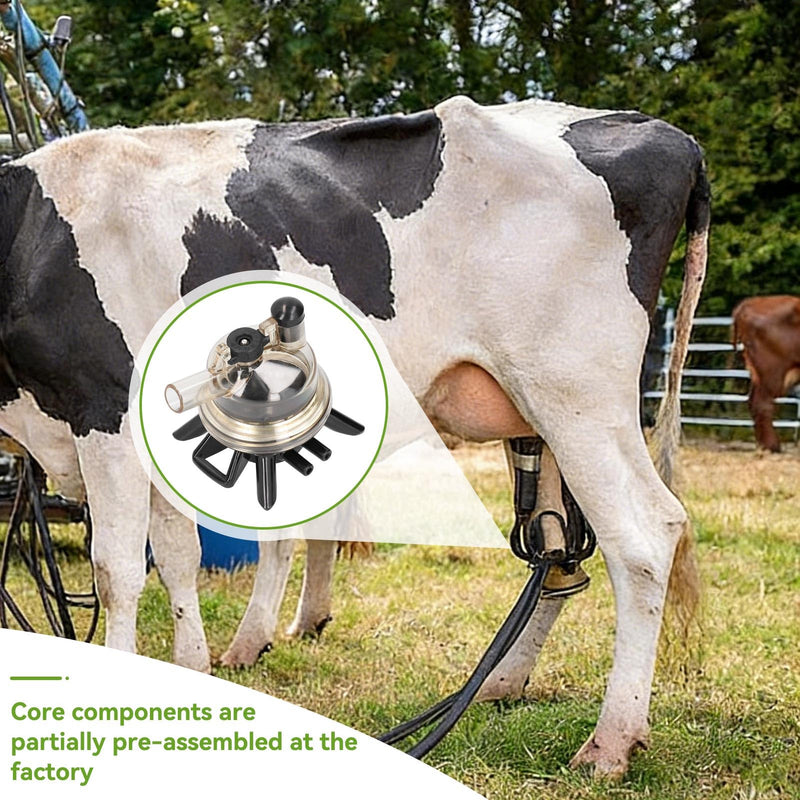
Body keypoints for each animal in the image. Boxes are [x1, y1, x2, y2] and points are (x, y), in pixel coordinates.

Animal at [0, 95, 709, 778]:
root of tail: (667, 134)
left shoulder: (104, 409)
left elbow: (118, 570)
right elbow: (178, 556)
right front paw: (190, 670)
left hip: (576, 393)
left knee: (645, 536)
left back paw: (610, 744)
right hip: (540, 414)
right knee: (558, 551)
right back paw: (498, 686)